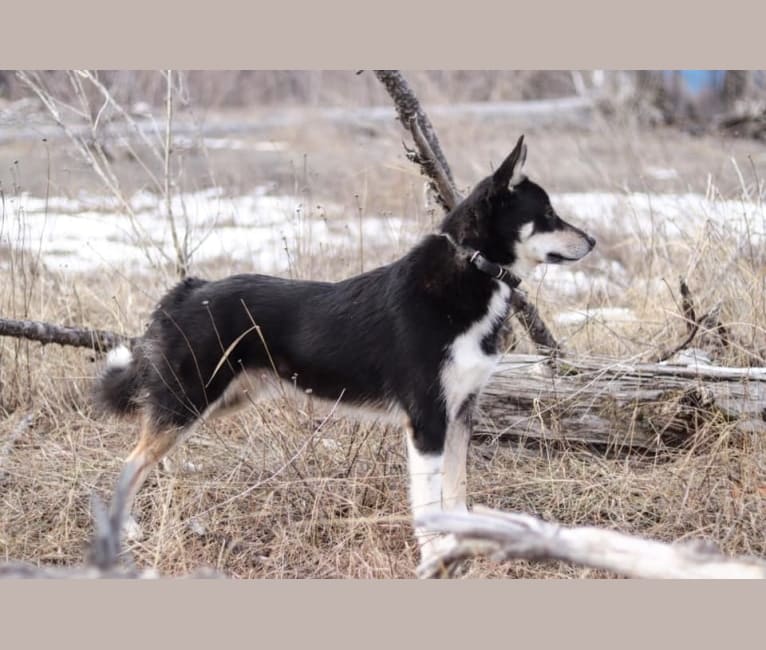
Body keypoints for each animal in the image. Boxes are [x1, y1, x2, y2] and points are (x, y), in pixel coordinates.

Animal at [96, 135, 596, 560]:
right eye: (548, 214)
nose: (592, 241)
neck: (469, 272)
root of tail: (187, 289)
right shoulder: (427, 422)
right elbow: (429, 503)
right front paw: (435, 553)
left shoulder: (461, 413)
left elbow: (456, 492)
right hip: (190, 400)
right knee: (130, 462)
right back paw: (125, 529)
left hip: (217, 400)